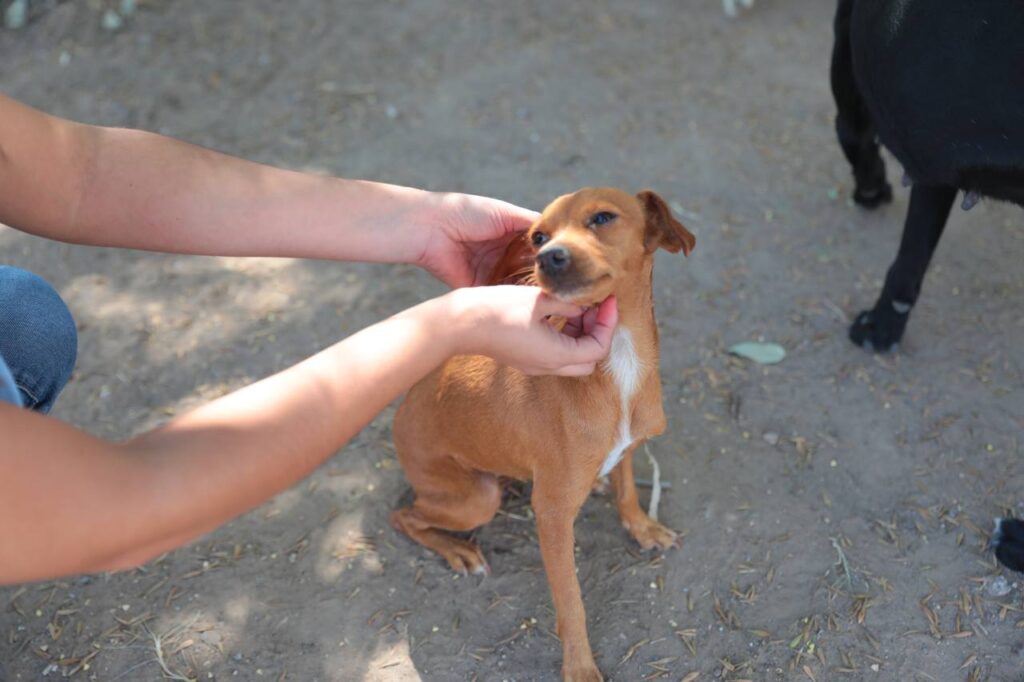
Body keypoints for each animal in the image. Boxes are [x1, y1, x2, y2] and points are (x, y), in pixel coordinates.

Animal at [391, 186, 696, 679]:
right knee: (403, 516)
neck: (620, 361)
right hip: (476, 499)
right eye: (538, 236)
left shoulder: (627, 449)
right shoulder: (550, 515)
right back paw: (456, 551)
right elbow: (571, 601)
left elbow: (628, 489)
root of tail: (401, 410)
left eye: (603, 217)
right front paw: (580, 666)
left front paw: (642, 527)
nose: (548, 257)